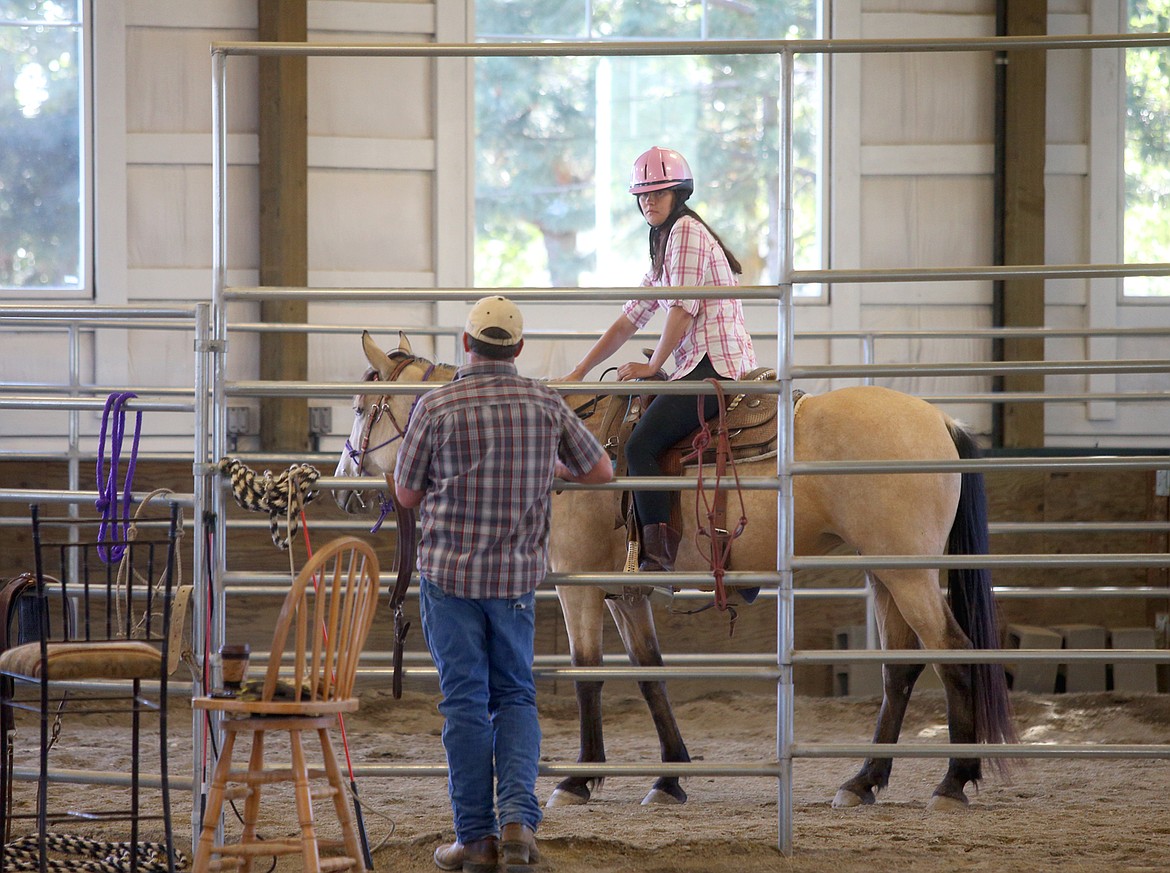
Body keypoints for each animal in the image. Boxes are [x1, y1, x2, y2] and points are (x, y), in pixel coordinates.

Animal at [336, 327, 1015, 809]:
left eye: (364, 404)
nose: (344, 481)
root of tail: (939, 420)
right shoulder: (623, 592)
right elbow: (650, 674)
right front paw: (669, 777)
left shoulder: (580, 585)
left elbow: (587, 673)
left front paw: (577, 782)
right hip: (886, 572)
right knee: (902, 667)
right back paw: (864, 780)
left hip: (909, 574)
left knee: (955, 652)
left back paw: (953, 781)